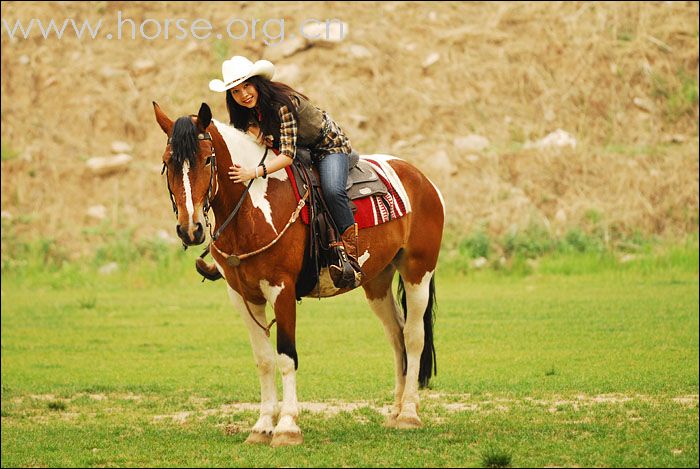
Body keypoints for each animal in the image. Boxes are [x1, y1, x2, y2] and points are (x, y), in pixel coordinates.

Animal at [154, 100, 448, 444]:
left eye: (208, 158)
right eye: (167, 163)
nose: (191, 229)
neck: (253, 207)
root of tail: (422, 180)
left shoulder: (282, 290)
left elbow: (286, 357)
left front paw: (287, 426)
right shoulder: (242, 296)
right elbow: (264, 360)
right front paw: (262, 426)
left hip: (418, 271)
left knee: (414, 336)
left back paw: (410, 414)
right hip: (377, 280)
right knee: (396, 335)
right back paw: (396, 412)